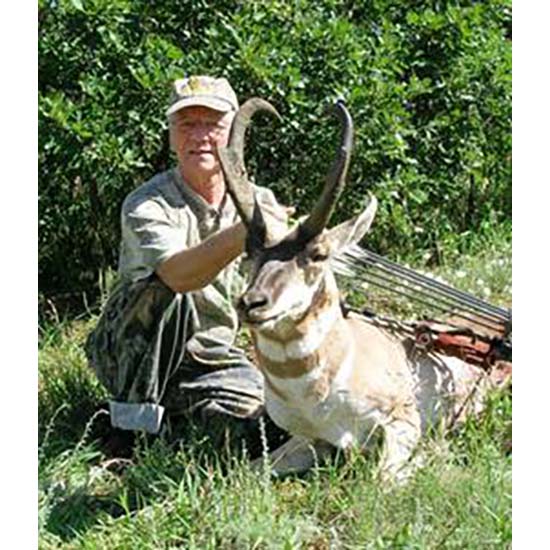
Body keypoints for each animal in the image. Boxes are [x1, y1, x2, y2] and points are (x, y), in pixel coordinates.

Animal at [217, 98, 507, 483]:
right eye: (249, 252)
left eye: (319, 254)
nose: (251, 303)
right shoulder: (309, 440)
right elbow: (235, 474)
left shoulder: (402, 421)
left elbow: (381, 480)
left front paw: (431, 457)